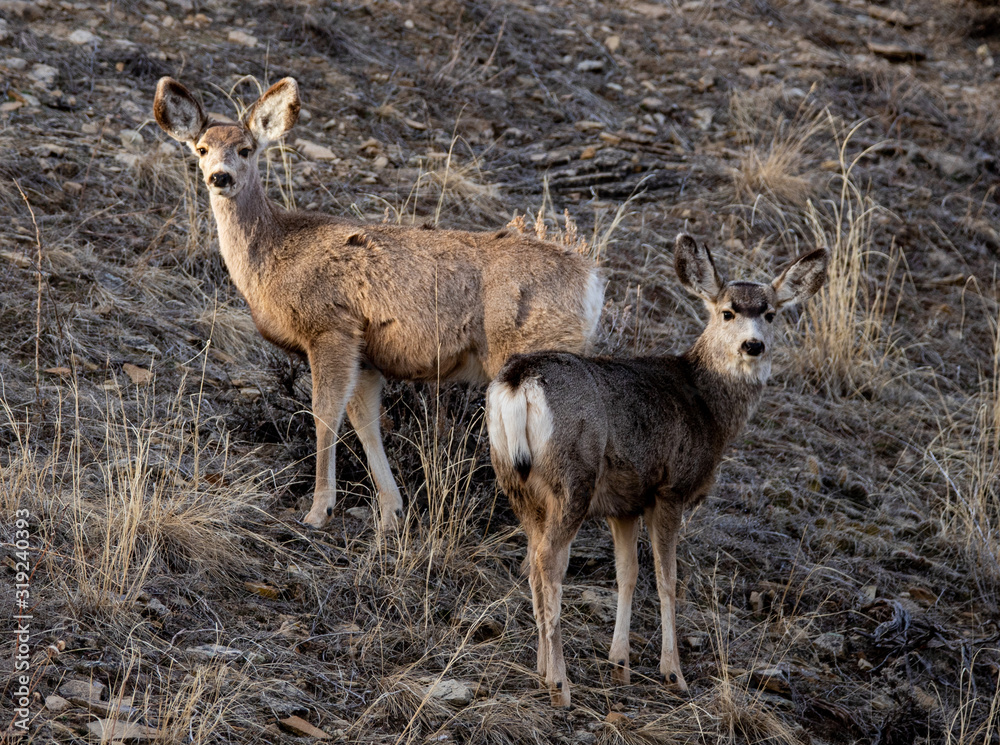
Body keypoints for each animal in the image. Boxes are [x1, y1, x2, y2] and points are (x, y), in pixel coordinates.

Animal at [150, 77, 600, 528]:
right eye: (201, 148)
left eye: (245, 149)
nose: (220, 176)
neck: (276, 253)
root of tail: (592, 283)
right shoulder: (366, 355)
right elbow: (365, 422)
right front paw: (390, 512)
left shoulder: (331, 327)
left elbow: (324, 414)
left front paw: (319, 510)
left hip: (531, 352)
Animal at [486, 235, 828, 708]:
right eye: (728, 311)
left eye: (771, 313)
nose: (753, 346)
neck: (708, 407)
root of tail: (519, 379)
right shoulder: (670, 488)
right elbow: (668, 580)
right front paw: (673, 673)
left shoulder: (626, 501)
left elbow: (627, 575)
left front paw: (620, 665)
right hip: (572, 480)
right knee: (548, 563)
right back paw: (560, 684)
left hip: (516, 482)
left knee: (533, 563)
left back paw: (541, 670)